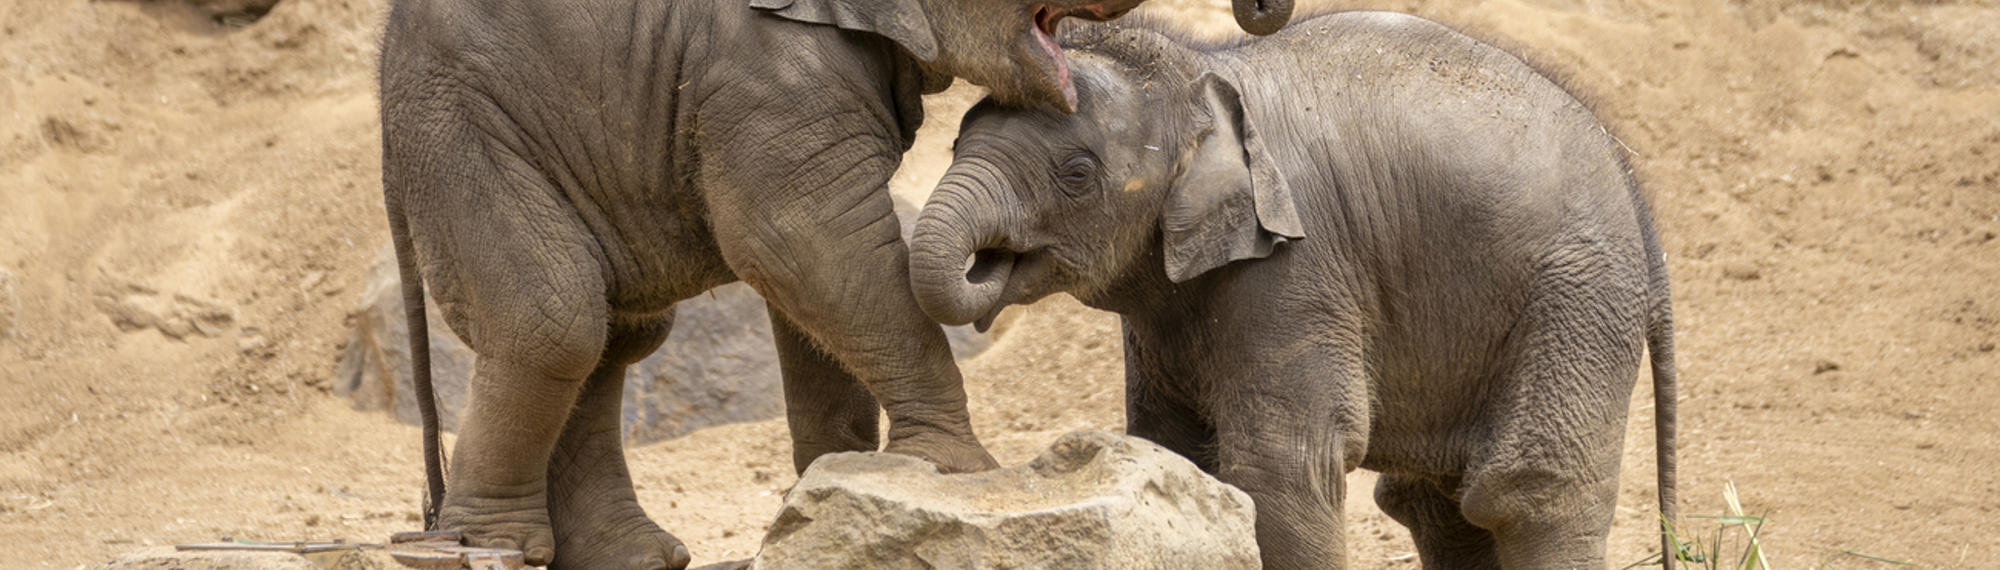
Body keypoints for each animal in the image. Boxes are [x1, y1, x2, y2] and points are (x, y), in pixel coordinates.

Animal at [377, 0, 1299, 568]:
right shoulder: (764, 61)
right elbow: (799, 235)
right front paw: (957, 471)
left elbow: (811, 280)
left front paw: (831, 497)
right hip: (462, 124)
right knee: (556, 317)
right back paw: (486, 550)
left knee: (614, 331)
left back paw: (634, 556)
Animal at [908, 12, 1679, 570]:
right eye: (953, 145)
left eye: (1075, 174)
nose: (987, 266)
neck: (1202, 72)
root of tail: (1639, 196)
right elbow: (1176, 451)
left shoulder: (1297, 268)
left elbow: (1282, 469)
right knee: (1437, 503)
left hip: (1577, 300)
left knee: (1527, 495)